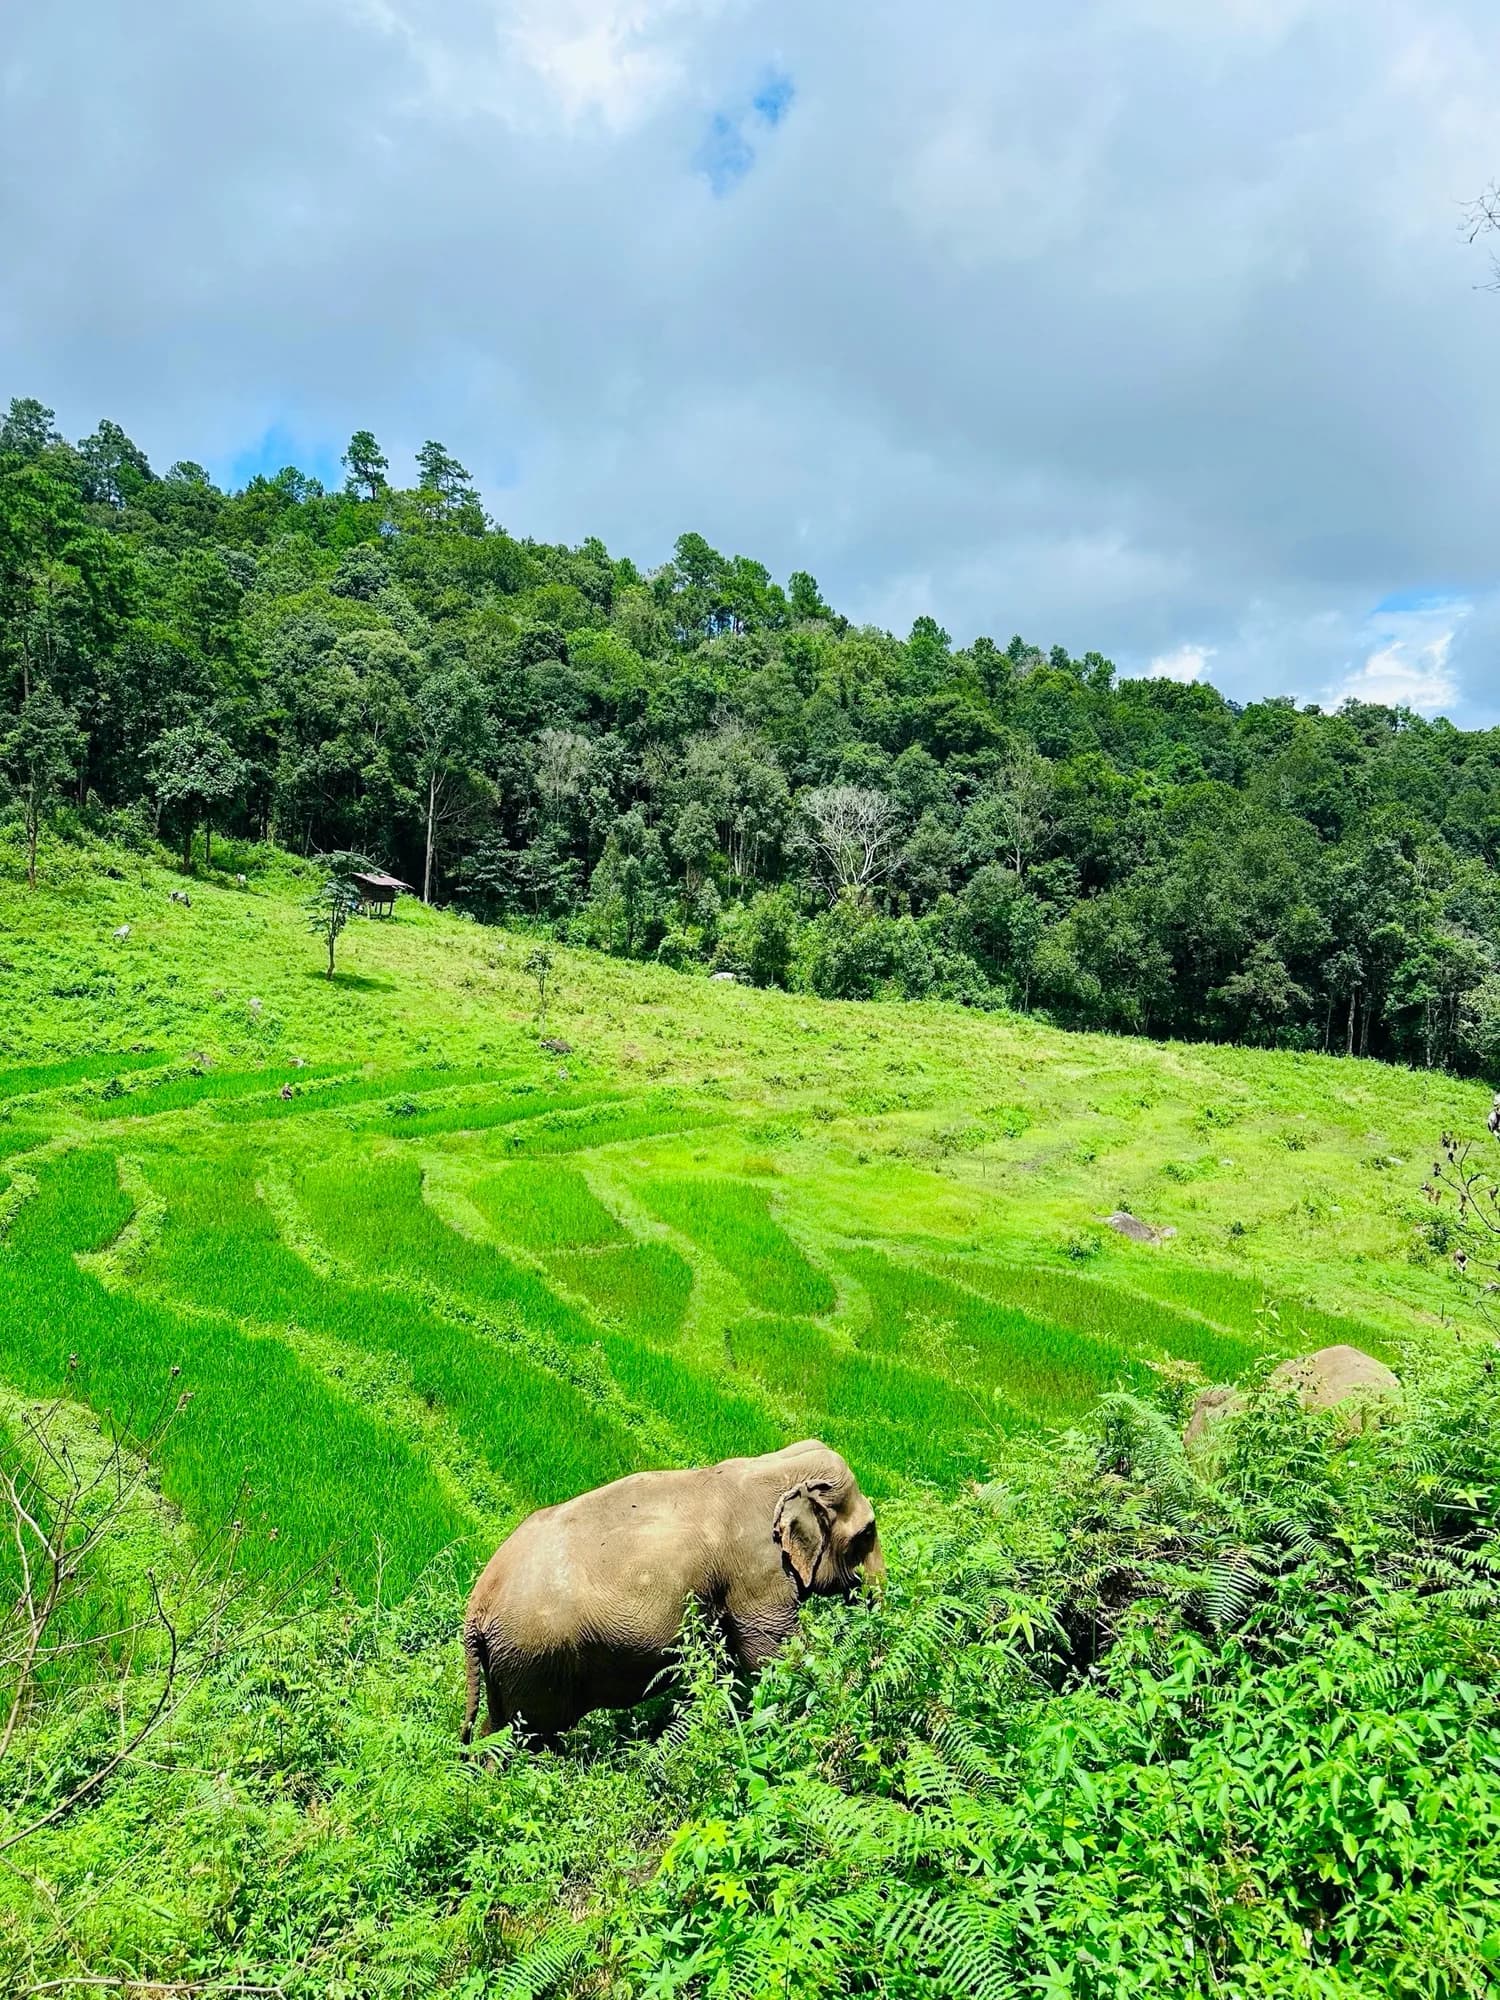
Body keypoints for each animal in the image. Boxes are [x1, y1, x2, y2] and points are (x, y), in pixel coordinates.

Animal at [461, 1438, 882, 1743]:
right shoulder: (758, 1568)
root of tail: (475, 1611)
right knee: (528, 1734)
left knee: (497, 1729)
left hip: (509, 1663)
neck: (775, 1465)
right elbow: (770, 1654)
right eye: (867, 1533)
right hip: (534, 1658)